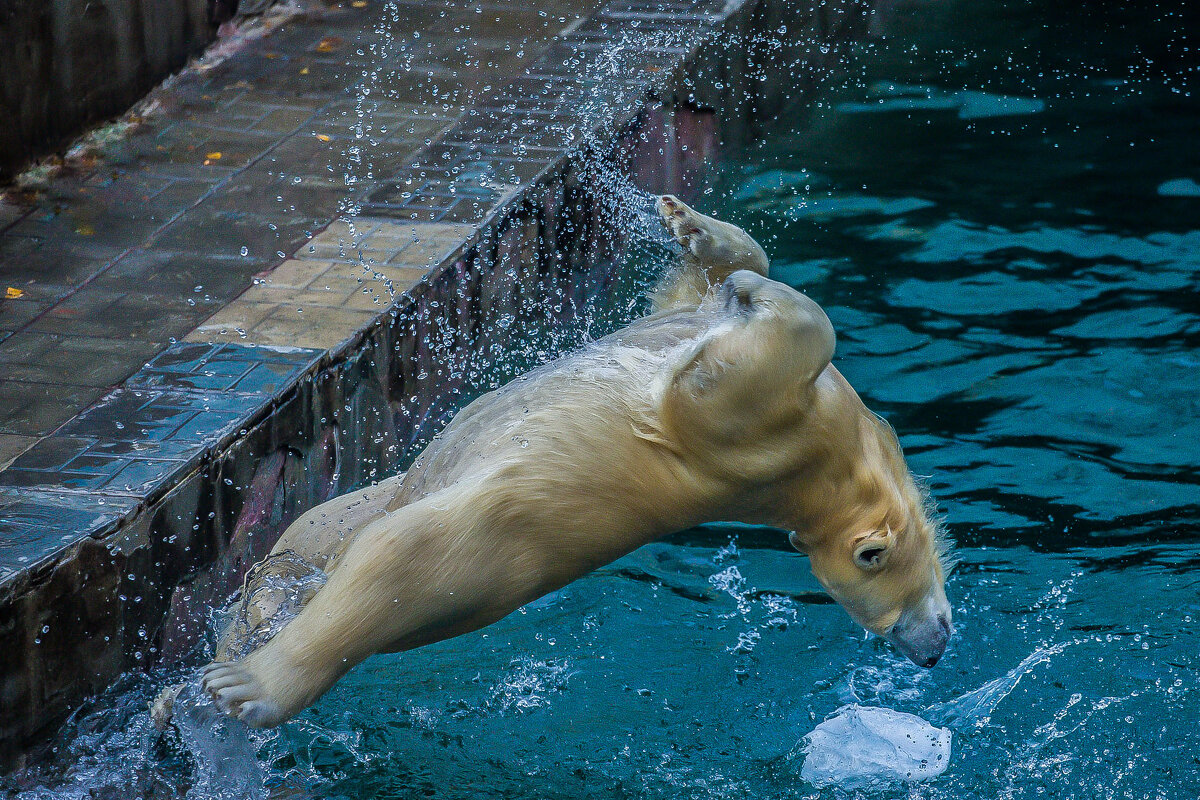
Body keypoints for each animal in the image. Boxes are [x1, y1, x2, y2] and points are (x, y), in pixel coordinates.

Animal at [204, 196, 955, 729]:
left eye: (881, 618)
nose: (931, 652)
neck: (839, 455)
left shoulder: (763, 438)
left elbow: (732, 366)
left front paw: (748, 288)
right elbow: (688, 305)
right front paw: (701, 238)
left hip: (488, 545)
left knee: (400, 562)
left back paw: (247, 681)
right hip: (374, 504)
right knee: (308, 535)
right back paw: (236, 636)